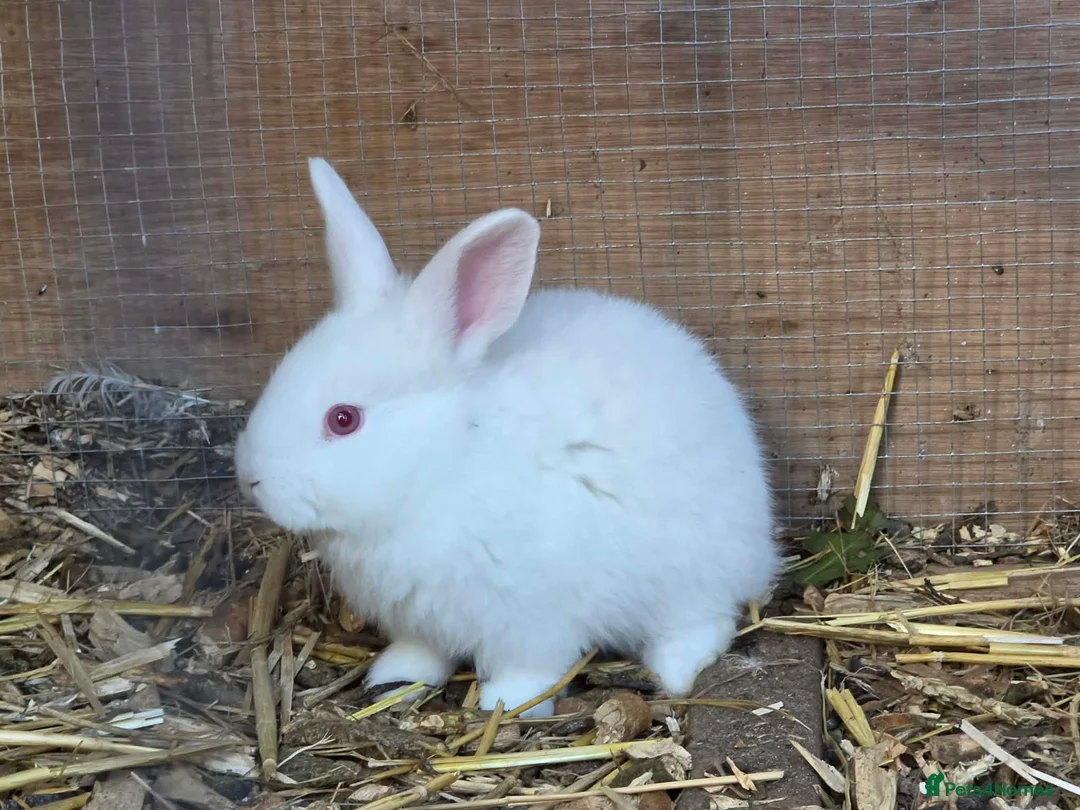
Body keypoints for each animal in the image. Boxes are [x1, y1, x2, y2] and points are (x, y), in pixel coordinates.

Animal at [234, 157, 780, 718]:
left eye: (343, 419)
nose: (249, 478)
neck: (446, 461)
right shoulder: (421, 620)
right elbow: (420, 652)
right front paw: (395, 678)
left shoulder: (531, 619)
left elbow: (530, 668)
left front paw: (505, 701)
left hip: (691, 573)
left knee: (705, 620)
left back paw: (675, 669)